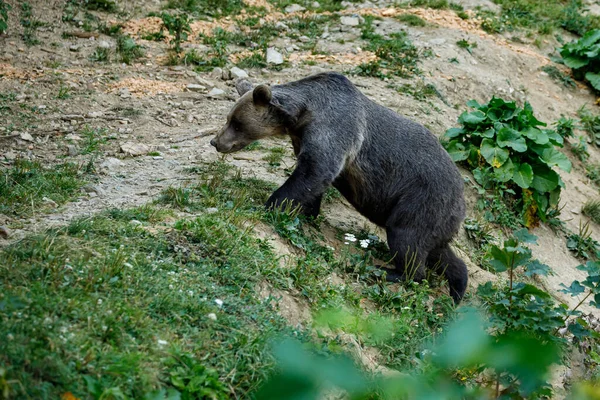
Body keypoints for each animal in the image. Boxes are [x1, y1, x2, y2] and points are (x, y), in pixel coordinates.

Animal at [211, 72, 468, 304]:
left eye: (236, 123)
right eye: (229, 118)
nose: (216, 142)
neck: (302, 115)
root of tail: (463, 200)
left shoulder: (333, 129)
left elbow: (314, 171)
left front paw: (270, 205)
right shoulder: (303, 137)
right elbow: (313, 181)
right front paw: (306, 212)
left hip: (422, 198)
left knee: (406, 238)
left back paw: (392, 272)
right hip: (437, 218)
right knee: (436, 250)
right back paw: (457, 287)